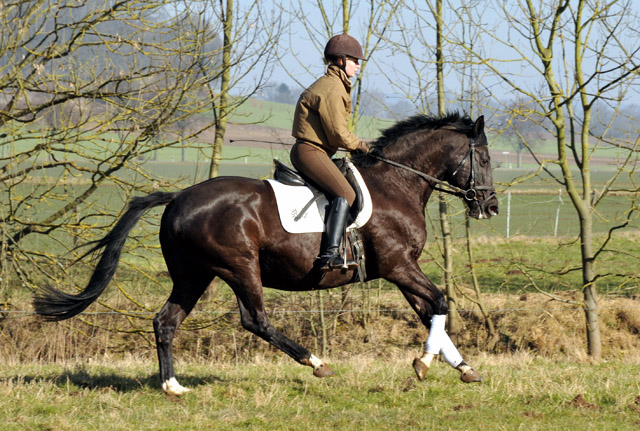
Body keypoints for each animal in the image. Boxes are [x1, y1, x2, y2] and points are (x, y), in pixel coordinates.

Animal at [35, 111, 500, 394]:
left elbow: (431, 311)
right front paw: (424, 363)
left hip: (193, 275)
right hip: (240, 267)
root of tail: (178, 197)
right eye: (484, 157)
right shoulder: (399, 266)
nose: (491, 207)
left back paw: (173, 386)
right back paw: (316, 362)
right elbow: (439, 301)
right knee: (255, 319)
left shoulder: (402, 269)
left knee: (166, 321)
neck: (397, 184)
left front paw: (463, 367)